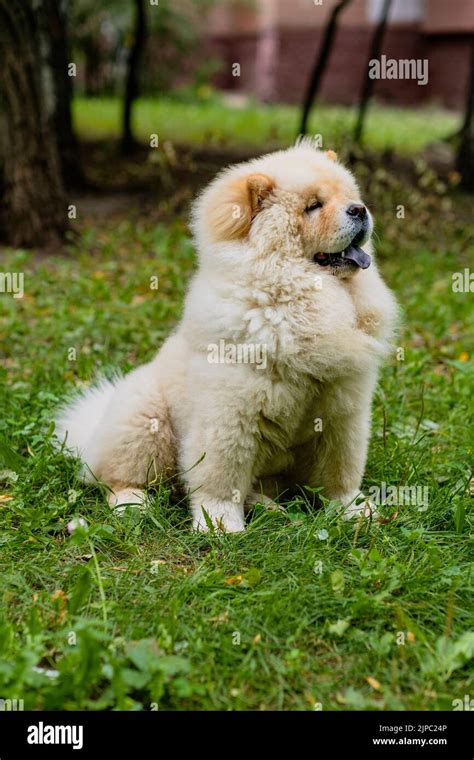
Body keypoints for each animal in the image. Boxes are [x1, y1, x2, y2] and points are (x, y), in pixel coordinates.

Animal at [55, 141, 398, 536]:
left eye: (350, 196)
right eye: (314, 206)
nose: (359, 209)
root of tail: (93, 431)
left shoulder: (343, 412)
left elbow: (340, 474)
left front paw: (353, 511)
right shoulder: (230, 414)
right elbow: (221, 477)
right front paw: (219, 525)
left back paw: (268, 508)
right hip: (146, 420)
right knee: (119, 478)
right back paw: (134, 504)